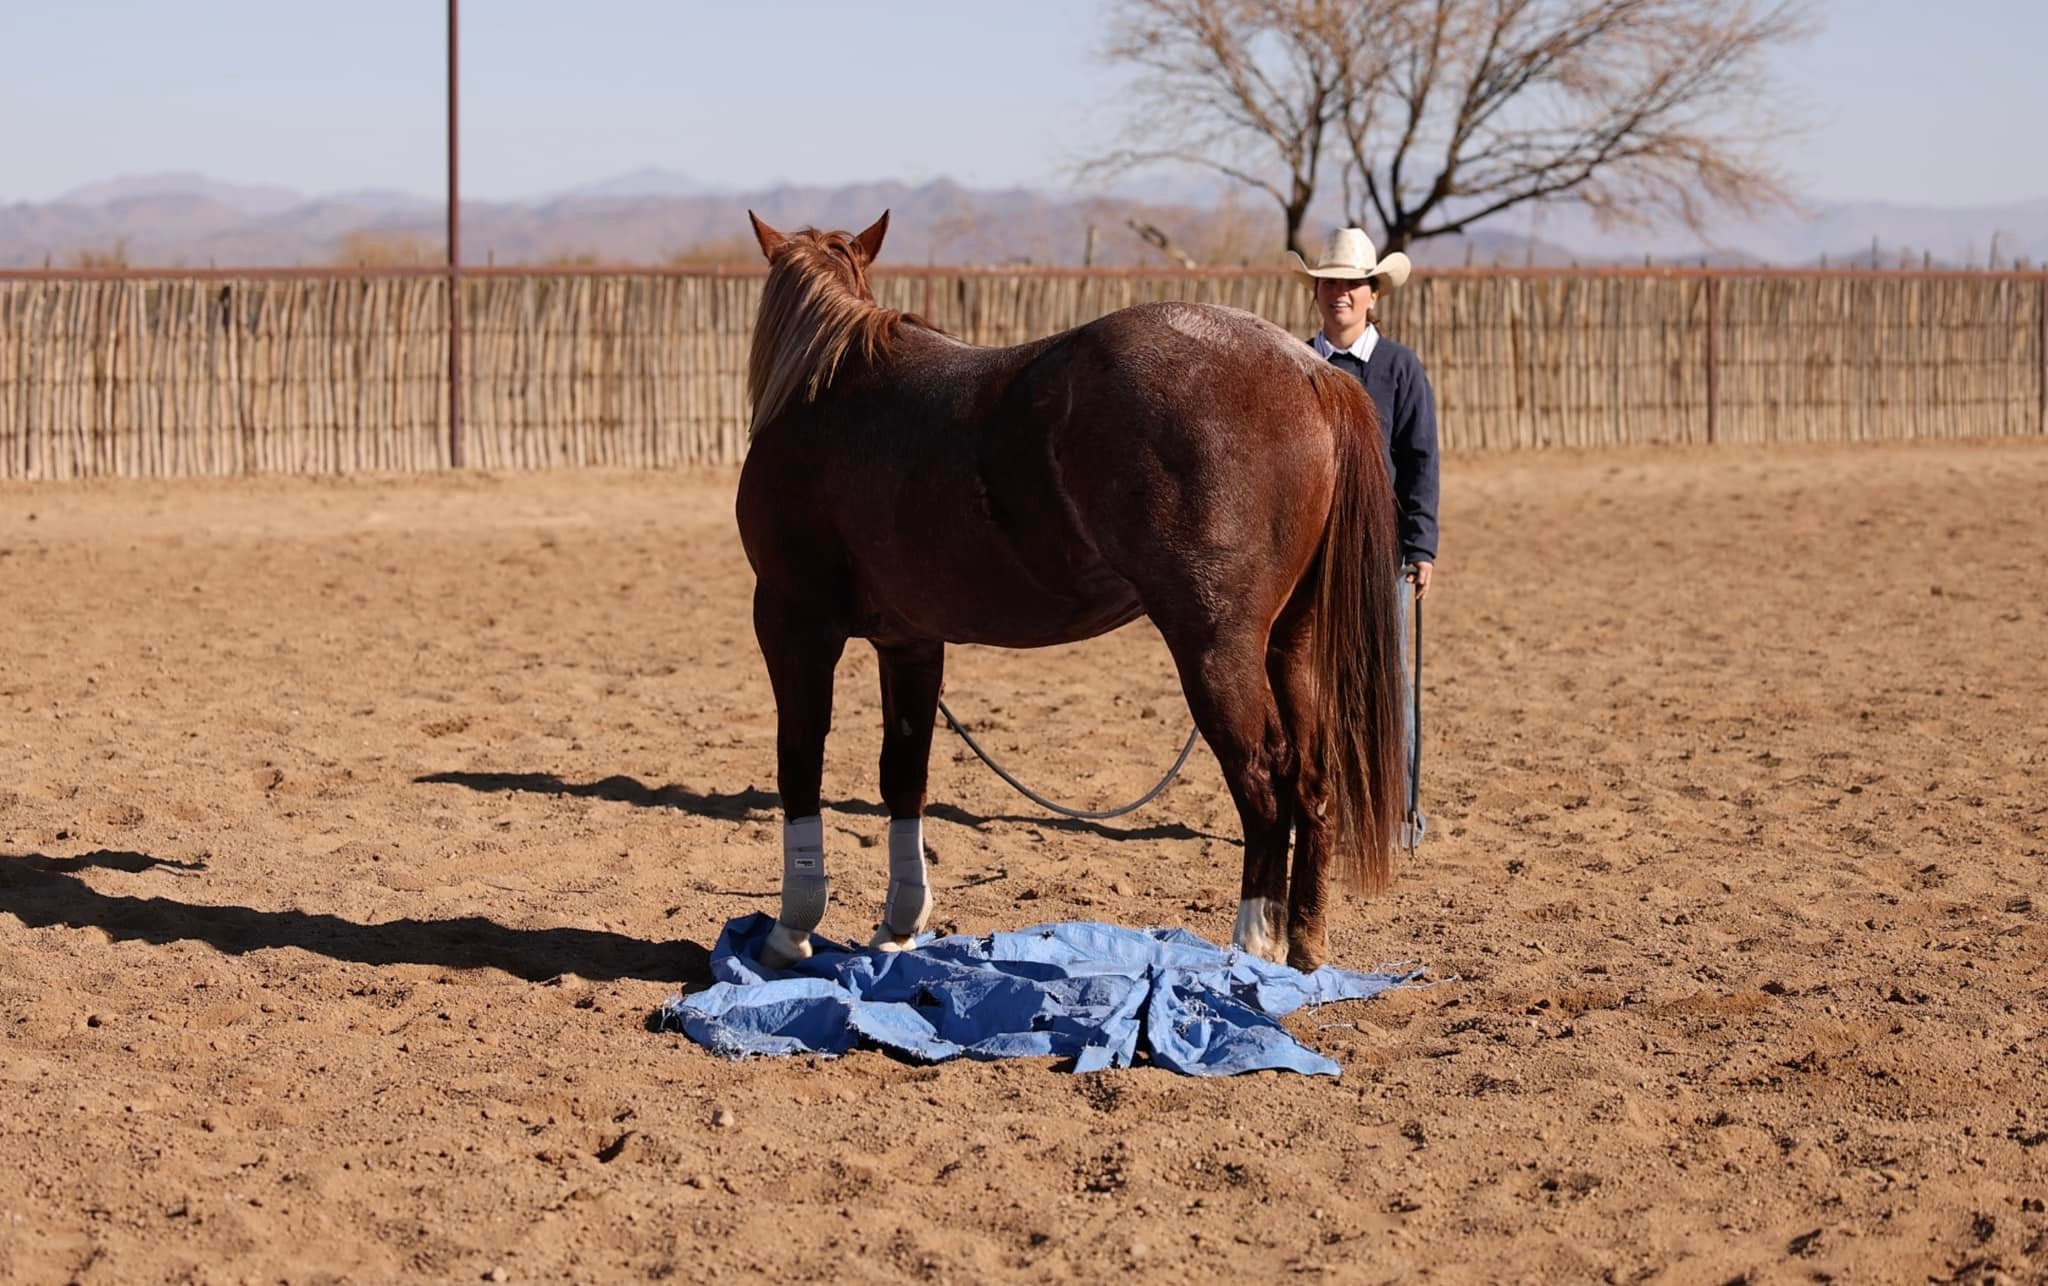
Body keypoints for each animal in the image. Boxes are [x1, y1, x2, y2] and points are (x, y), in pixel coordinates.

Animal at [736, 210, 1408, 973]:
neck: (825, 390)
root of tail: (1310, 369)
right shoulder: (909, 642)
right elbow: (904, 773)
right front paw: (898, 928)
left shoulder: (793, 624)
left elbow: (800, 763)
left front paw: (790, 931)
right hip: (1292, 641)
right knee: (1312, 780)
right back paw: (1302, 951)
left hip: (1217, 647)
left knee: (1265, 781)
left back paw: (1248, 951)